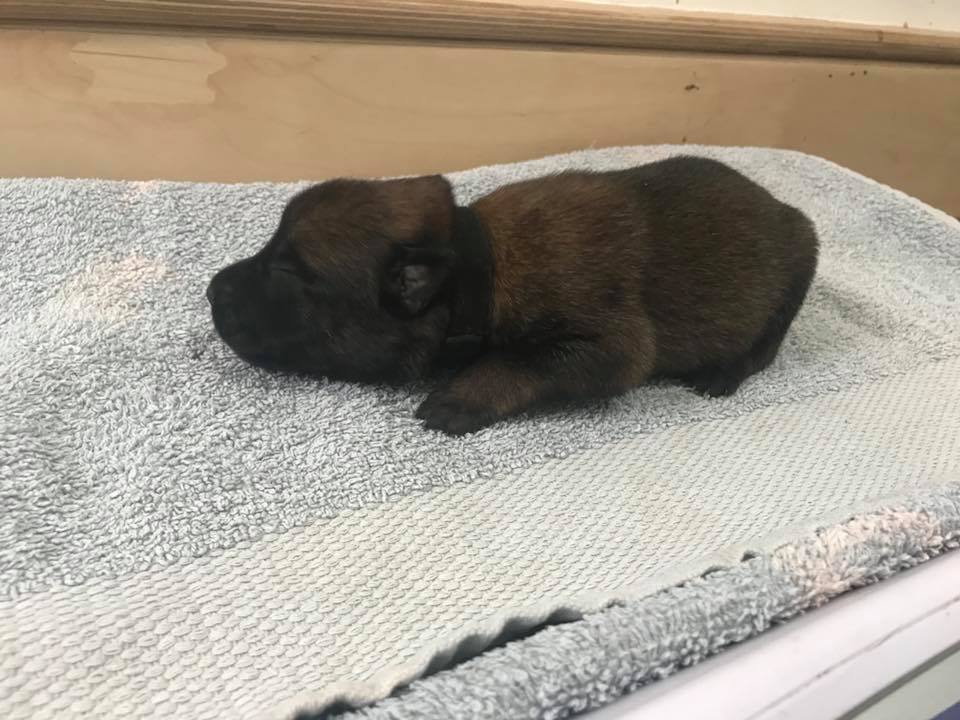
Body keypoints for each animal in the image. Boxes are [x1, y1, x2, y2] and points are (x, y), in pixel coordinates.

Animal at [206, 156, 818, 435]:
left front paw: (459, 397)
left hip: (801, 261)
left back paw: (724, 373)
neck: (480, 264)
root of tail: (778, 206)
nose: (211, 291)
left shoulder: (613, 347)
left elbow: (519, 361)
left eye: (289, 271)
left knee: (766, 344)